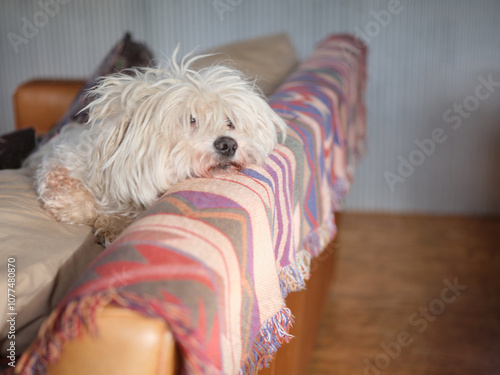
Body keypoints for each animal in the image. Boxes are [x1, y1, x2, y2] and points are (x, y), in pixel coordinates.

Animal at [29, 52, 288, 247]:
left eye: (229, 122)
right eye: (191, 120)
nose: (229, 144)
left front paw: (113, 224)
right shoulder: (61, 159)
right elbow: (75, 199)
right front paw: (100, 218)